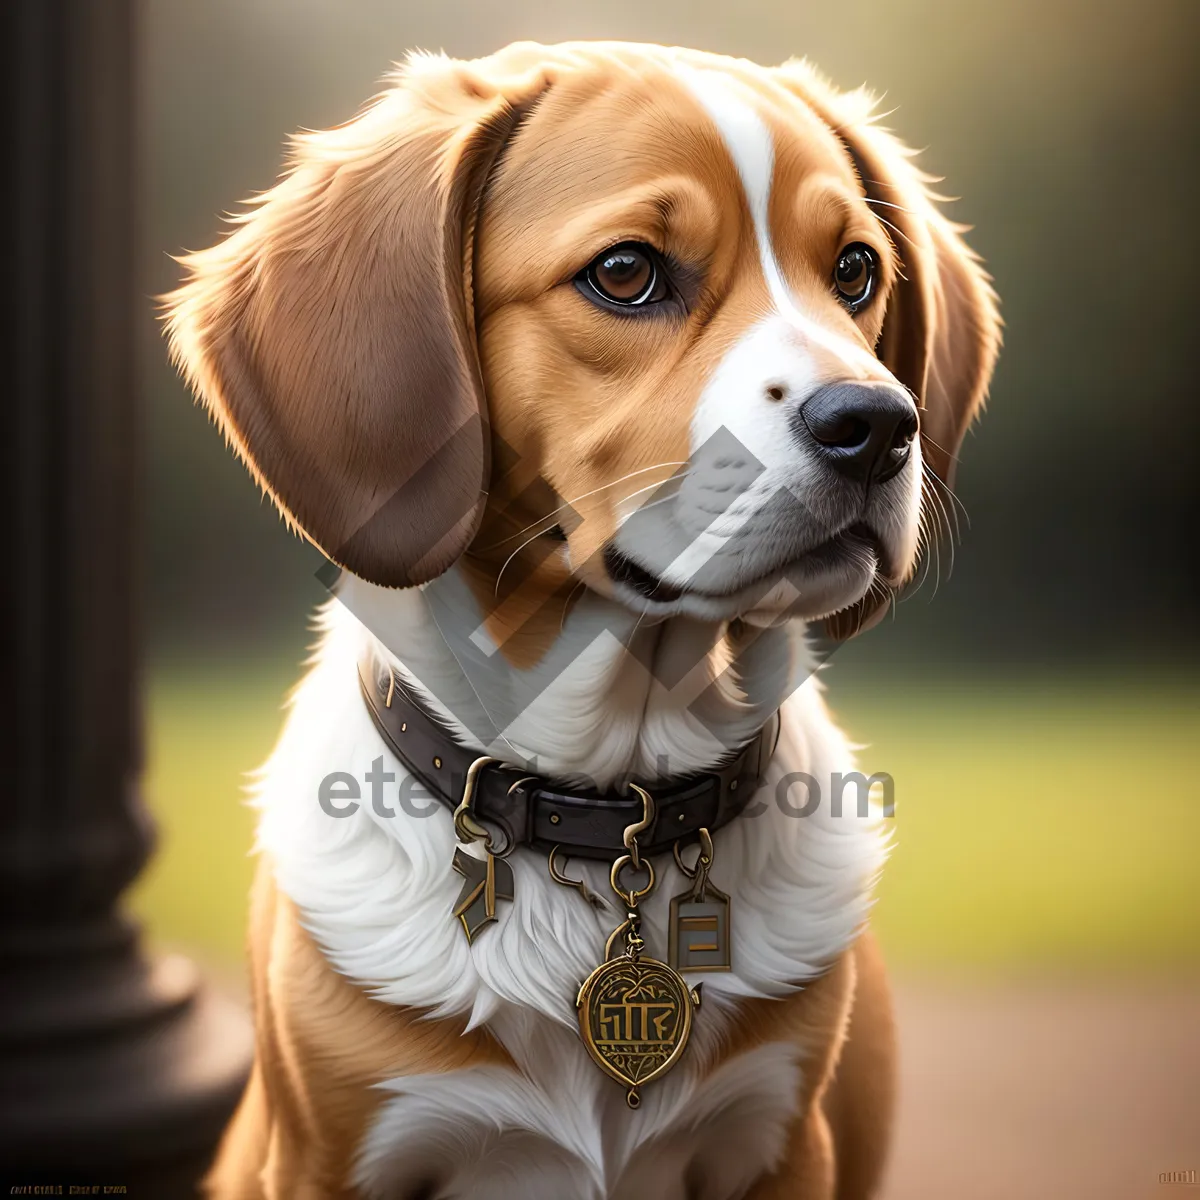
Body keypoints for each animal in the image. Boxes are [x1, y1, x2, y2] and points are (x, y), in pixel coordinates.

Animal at [164, 39, 998, 1200]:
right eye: (625, 272)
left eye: (855, 274)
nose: (877, 425)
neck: (614, 808)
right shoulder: (329, 1164)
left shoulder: (784, 1149)